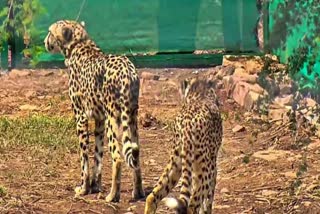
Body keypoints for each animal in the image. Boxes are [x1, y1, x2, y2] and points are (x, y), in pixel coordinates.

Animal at [43, 20, 145, 202]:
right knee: (136, 153)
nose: (44, 41)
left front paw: (84, 188)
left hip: (113, 119)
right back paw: (138, 192)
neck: (78, 45)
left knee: (118, 156)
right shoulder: (99, 119)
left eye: (50, 32)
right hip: (132, 117)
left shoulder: (81, 118)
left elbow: (84, 157)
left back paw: (112, 196)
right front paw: (95, 186)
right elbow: (97, 155)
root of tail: (127, 69)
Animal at [145, 77, 222, 214]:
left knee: (152, 196)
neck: (199, 93)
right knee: (193, 205)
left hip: (176, 163)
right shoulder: (212, 166)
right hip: (205, 168)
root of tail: (187, 123)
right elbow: (208, 200)